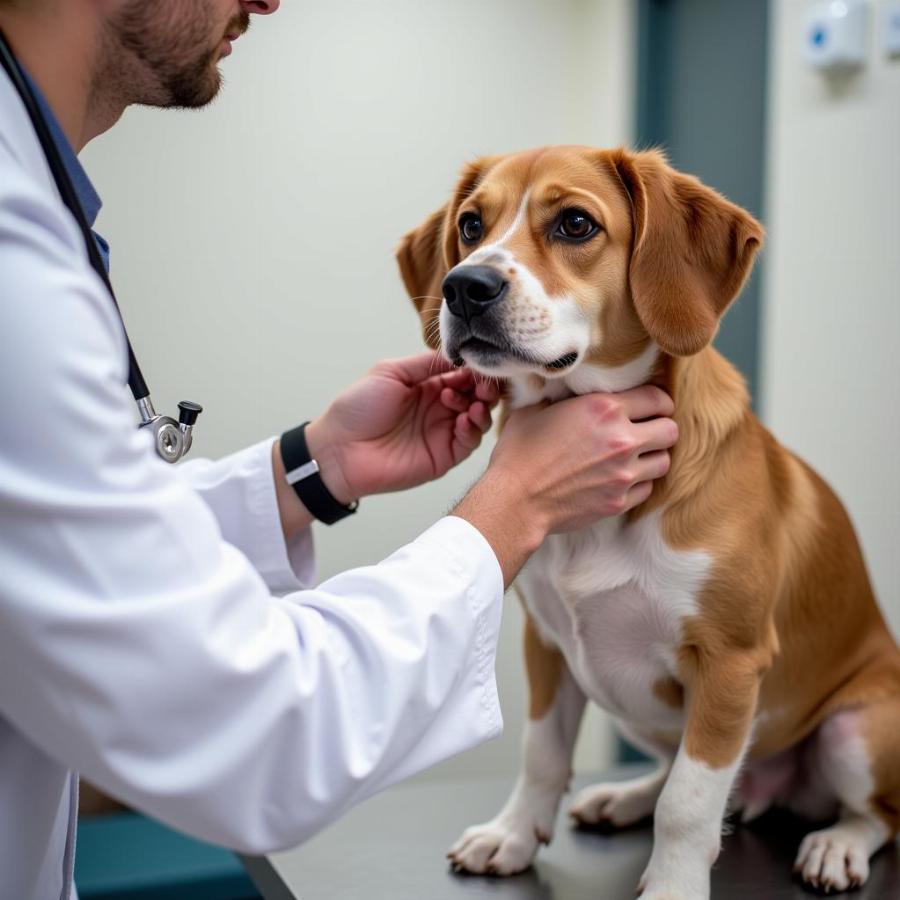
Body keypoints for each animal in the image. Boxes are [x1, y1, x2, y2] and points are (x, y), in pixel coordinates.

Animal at [394, 148, 900, 900]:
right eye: (470, 225)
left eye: (576, 223)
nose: (463, 287)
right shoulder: (548, 644)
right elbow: (543, 754)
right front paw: (513, 836)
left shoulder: (729, 664)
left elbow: (688, 803)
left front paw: (672, 887)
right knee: (677, 775)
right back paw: (622, 797)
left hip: (853, 732)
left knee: (875, 814)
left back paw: (836, 844)